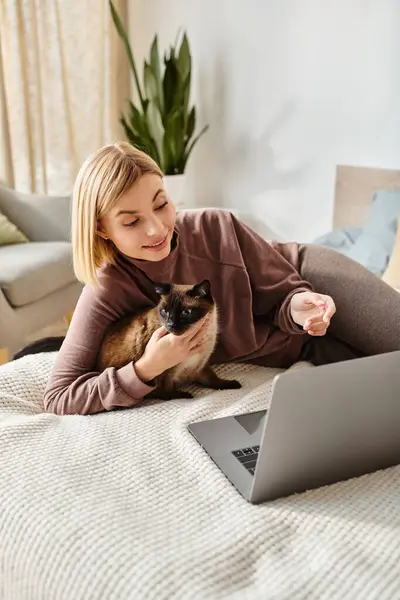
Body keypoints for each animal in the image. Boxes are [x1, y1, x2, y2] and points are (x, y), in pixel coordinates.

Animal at [97, 280, 241, 400]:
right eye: (165, 312)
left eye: (185, 312)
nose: (170, 324)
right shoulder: (166, 373)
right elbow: (167, 391)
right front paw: (183, 395)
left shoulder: (199, 366)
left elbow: (214, 380)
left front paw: (232, 384)